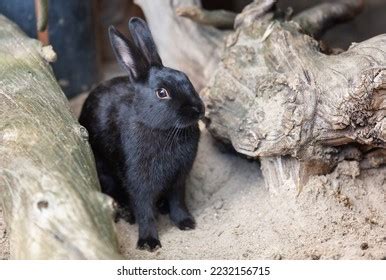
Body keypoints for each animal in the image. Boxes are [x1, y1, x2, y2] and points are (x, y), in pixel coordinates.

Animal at [79, 17, 205, 252]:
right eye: (162, 93)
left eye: (186, 78)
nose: (198, 109)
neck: (163, 130)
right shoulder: (139, 183)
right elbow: (145, 211)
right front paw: (149, 243)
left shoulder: (178, 180)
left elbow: (178, 201)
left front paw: (186, 223)